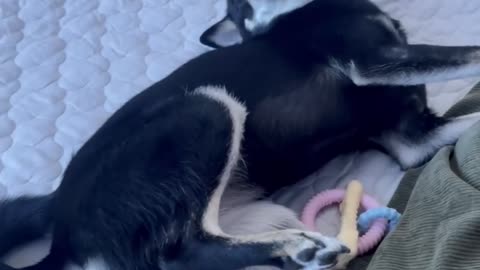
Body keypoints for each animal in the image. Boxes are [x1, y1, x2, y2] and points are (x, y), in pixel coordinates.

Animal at [0, 0, 480, 270]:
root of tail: (62, 230)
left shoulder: (411, 138)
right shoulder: (373, 60)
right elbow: (472, 53)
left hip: (265, 209)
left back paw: (294, 255)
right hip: (207, 107)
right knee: (181, 254)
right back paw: (300, 250)